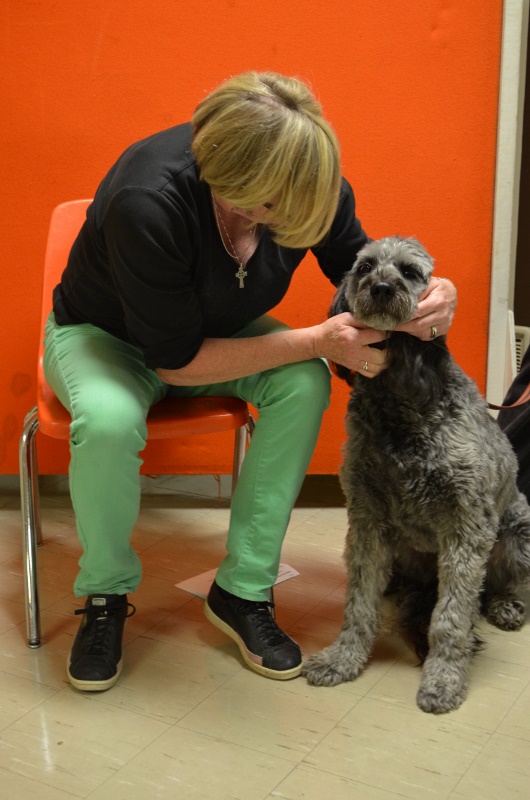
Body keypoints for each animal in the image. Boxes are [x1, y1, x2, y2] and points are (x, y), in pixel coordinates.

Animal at [300, 236, 528, 712]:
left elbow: (451, 617)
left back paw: (505, 605)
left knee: (500, 585)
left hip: (518, 535)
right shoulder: (367, 521)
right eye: (365, 267)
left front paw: (444, 679)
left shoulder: (466, 528)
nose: (382, 288)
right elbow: (359, 603)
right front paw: (344, 659)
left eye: (409, 272)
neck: (401, 398)